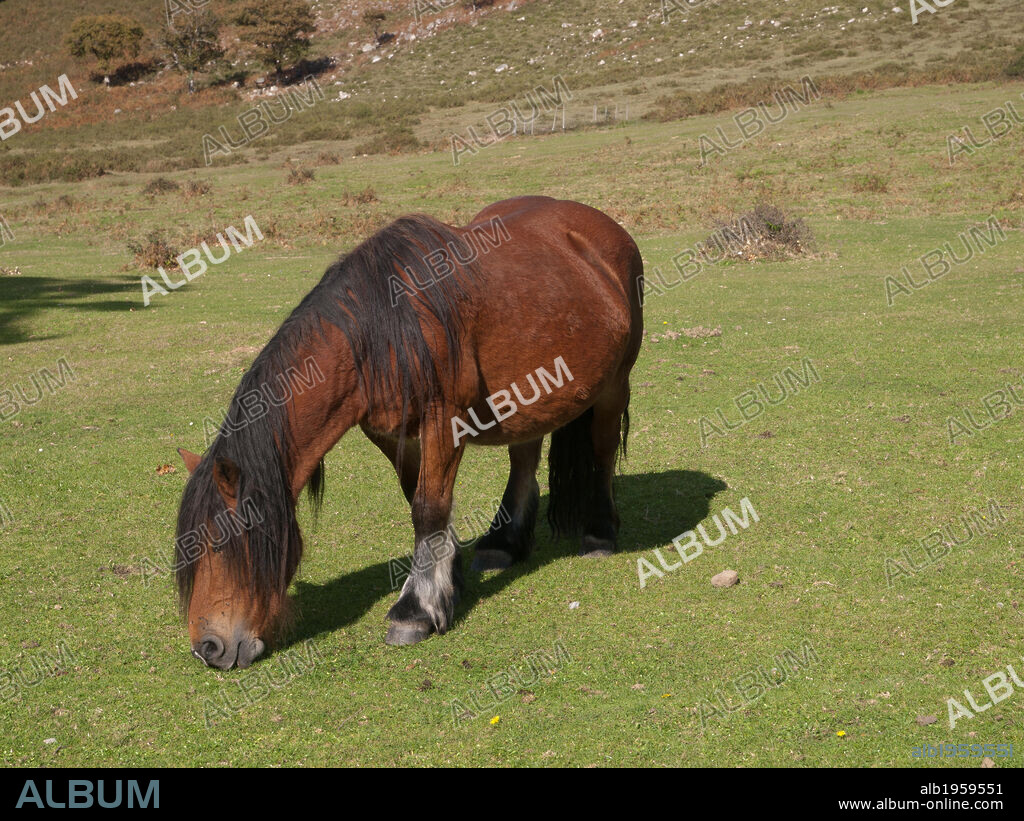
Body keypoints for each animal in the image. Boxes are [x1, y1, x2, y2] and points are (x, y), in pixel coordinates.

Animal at [174, 196, 644, 669]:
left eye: (223, 546)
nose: (207, 649)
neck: (381, 331)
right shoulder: (388, 432)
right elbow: (416, 497)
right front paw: (448, 580)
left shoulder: (445, 420)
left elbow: (428, 508)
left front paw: (415, 611)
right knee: (524, 460)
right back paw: (503, 544)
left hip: (614, 386)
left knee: (602, 452)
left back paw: (600, 532)